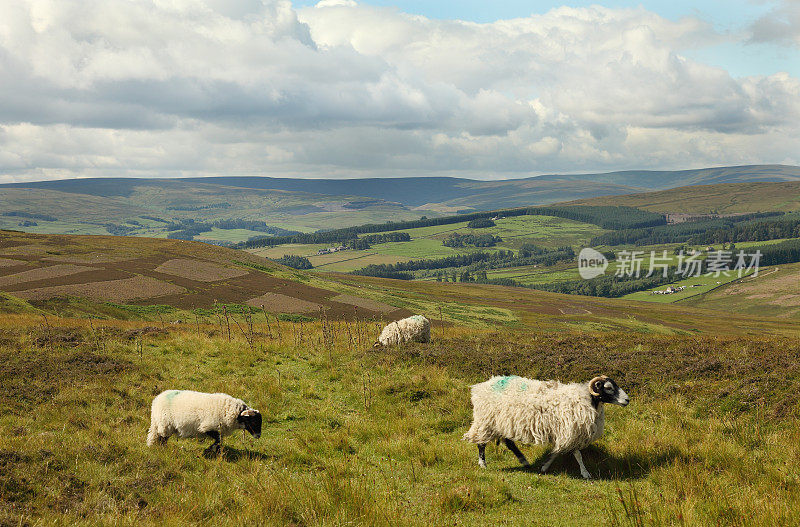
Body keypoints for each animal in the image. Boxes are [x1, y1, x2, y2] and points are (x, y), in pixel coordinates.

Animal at [462, 374, 632, 480]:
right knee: (481, 443)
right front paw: (585, 473)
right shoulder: (569, 430)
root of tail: (479, 388)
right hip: (486, 421)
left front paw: (544, 466)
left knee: (509, 442)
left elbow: (557, 451)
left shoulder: (564, 433)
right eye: (608, 388)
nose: (627, 400)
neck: (587, 400)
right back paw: (483, 464)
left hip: (503, 422)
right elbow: (577, 454)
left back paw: (524, 460)